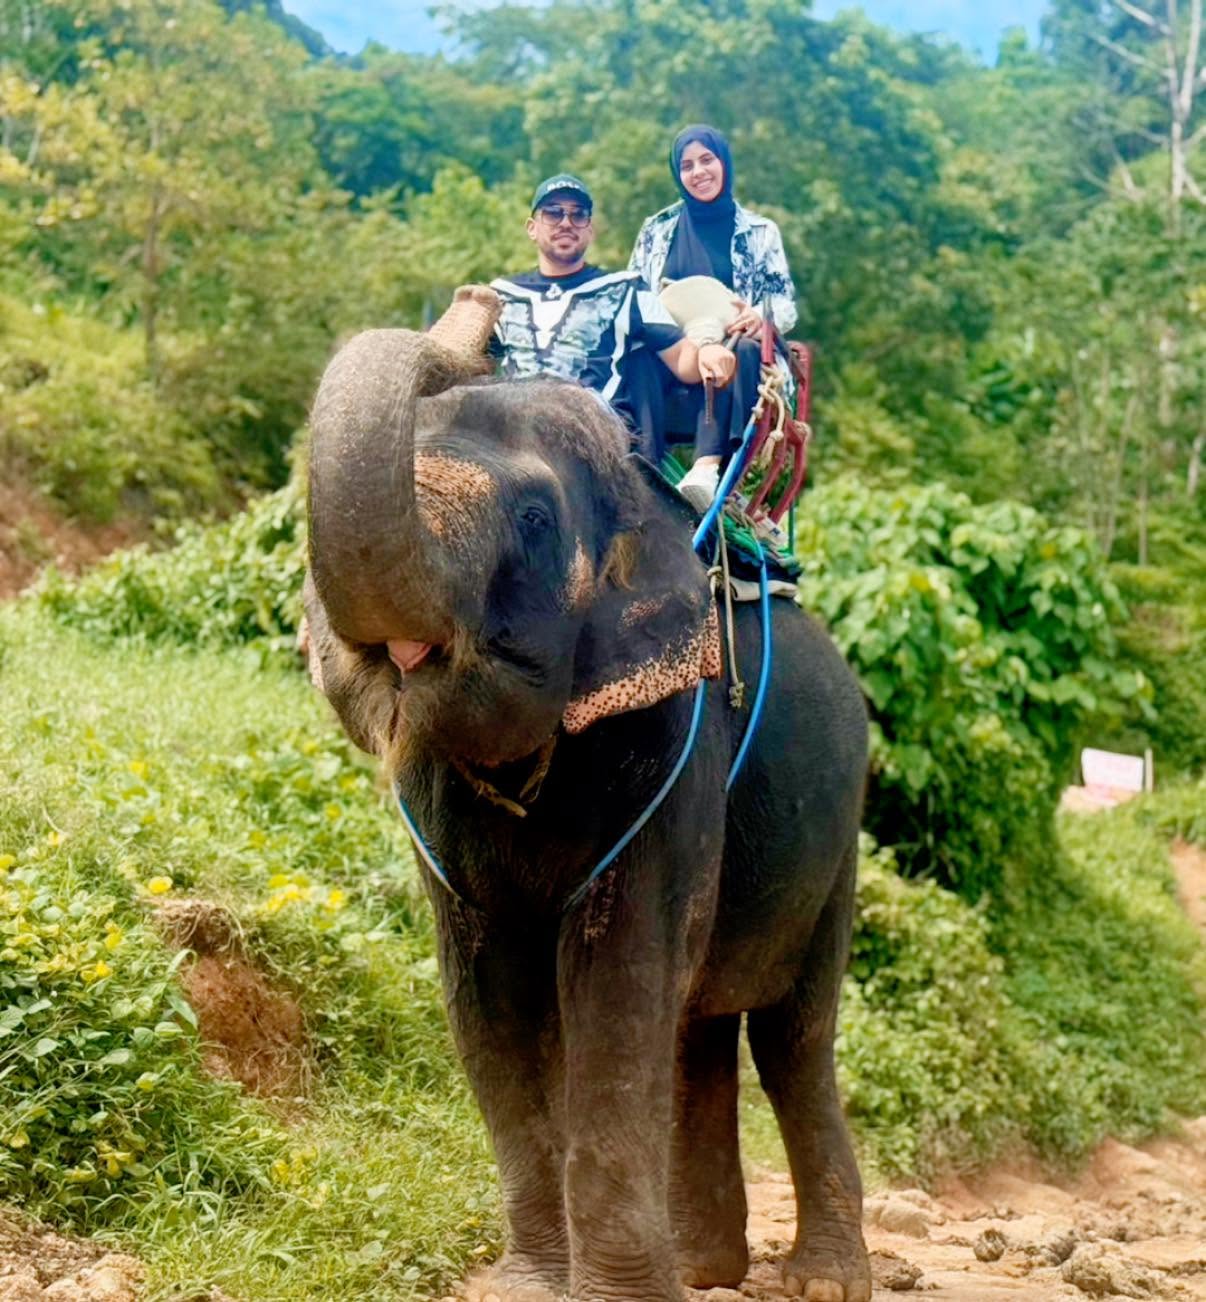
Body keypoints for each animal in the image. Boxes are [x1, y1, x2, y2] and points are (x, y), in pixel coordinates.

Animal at [302, 287, 872, 1302]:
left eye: (533, 519)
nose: (475, 306)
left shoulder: (674, 740)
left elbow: (617, 983)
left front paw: (614, 1294)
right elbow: (488, 999)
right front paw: (531, 1285)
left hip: (837, 845)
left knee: (792, 1040)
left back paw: (822, 1281)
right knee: (697, 1034)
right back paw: (705, 1268)